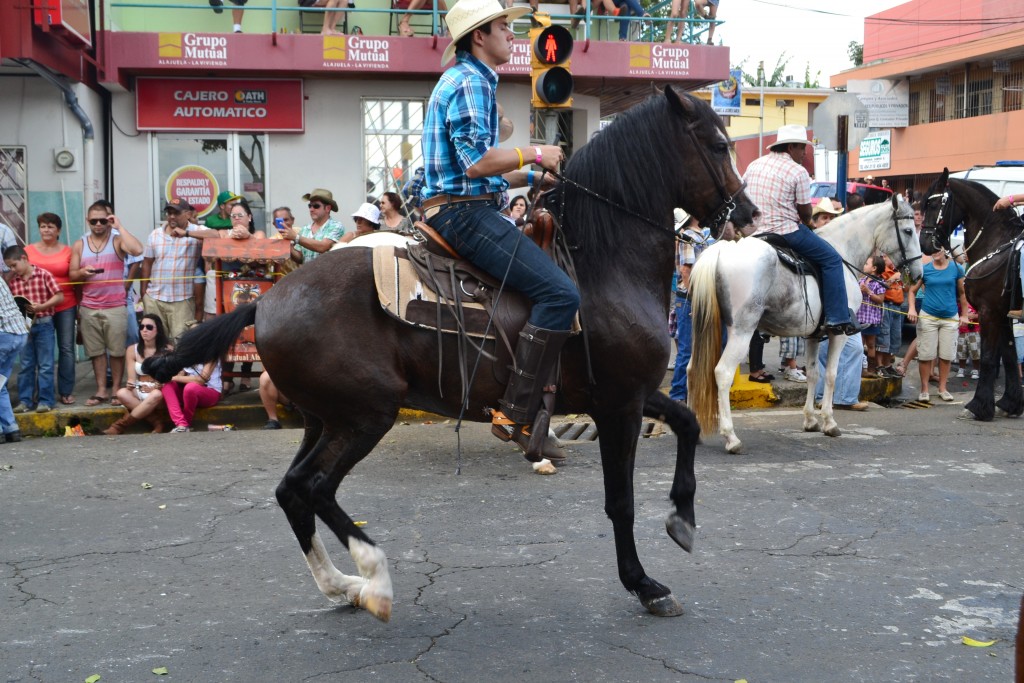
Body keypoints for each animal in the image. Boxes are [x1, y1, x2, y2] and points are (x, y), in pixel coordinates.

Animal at [142, 89, 761, 626]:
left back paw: (341, 586)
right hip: (365, 415)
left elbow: (686, 422)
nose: (749, 215)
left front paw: (682, 518)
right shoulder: (618, 404)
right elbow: (621, 501)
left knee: (292, 491)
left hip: (324, 417)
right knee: (314, 488)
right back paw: (374, 578)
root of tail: (265, 301)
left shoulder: (631, 394)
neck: (604, 261)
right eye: (717, 144)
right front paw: (644, 583)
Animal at [688, 194, 921, 454]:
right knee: (723, 373)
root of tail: (720, 250)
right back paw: (731, 437)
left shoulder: (813, 335)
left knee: (691, 369)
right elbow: (830, 374)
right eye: (909, 231)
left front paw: (810, 420)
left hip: (706, 329)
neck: (843, 253)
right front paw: (829, 422)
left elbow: (813, 374)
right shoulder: (839, 334)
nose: (918, 274)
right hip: (741, 331)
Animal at [921, 167, 1024, 419]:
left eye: (933, 205)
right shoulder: (1003, 314)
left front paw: (979, 405)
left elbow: (987, 358)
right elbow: (1009, 356)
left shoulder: (989, 312)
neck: (996, 243)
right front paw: (1010, 402)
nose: (924, 244)